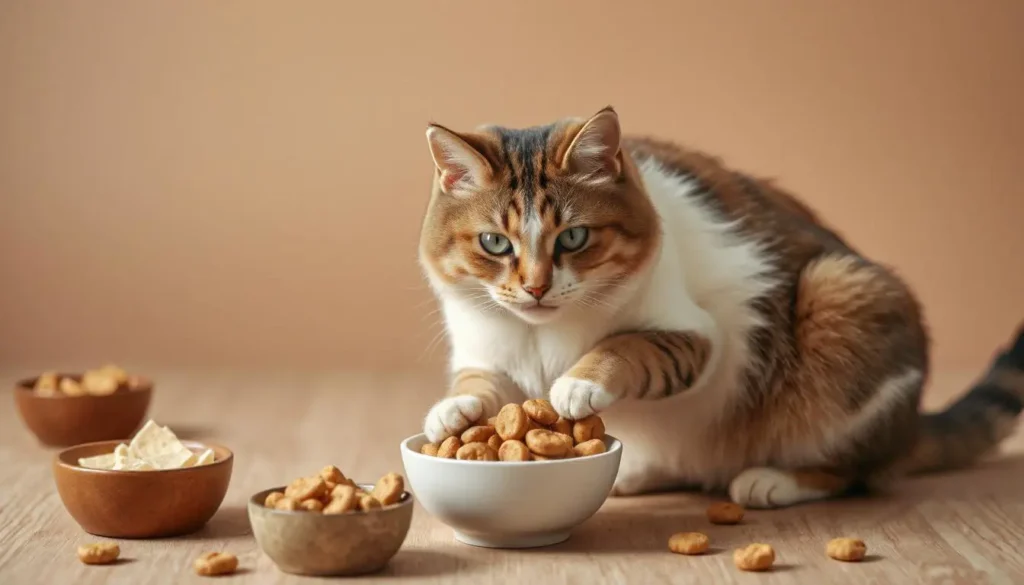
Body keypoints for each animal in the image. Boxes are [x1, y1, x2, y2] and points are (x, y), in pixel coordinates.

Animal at [415, 107, 1024, 510]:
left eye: (574, 237)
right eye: (495, 244)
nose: (536, 288)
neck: (542, 333)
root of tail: (913, 424)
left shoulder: (694, 335)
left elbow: (625, 345)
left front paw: (578, 383)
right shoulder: (486, 348)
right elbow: (481, 383)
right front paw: (451, 411)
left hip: (840, 297)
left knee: (855, 470)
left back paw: (773, 480)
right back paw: (641, 472)